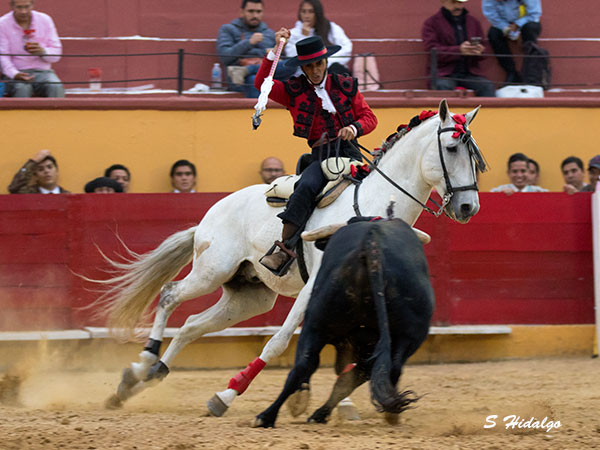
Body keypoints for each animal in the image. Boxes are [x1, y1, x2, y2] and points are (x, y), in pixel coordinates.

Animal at [255, 217, 434, 426]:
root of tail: (372, 245)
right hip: (405, 337)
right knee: (381, 370)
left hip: (316, 324)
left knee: (306, 366)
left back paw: (269, 416)